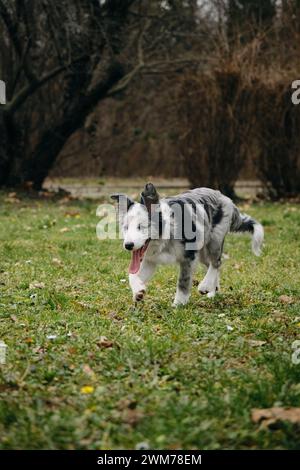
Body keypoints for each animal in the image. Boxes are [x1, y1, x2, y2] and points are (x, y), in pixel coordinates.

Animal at [111, 182, 264, 306]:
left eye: (141, 227)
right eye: (126, 227)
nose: (128, 245)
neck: (165, 235)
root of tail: (224, 197)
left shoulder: (188, 257)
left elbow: (183, 281)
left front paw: (178, 304)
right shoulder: (150, 261)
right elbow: (132, 275)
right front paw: (138, 291)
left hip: (215, 239)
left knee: (217, 262)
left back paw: (204, 286)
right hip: (202, 251)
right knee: (212, 264)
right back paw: (212, 291)